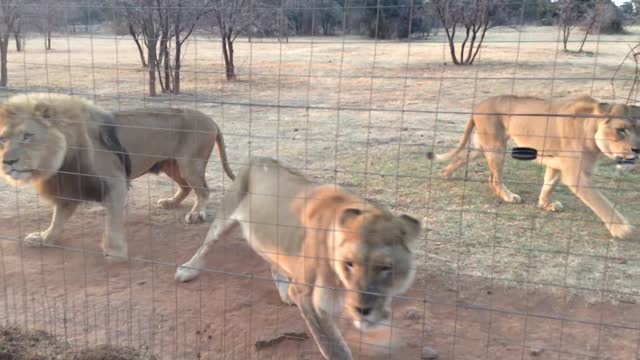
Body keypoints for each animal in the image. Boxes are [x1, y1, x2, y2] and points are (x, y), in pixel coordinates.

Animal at [175, 158, 424, 360]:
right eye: (349, 264)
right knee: (207, 245)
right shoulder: (308, 296)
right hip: (226, 214)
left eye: (386, 267)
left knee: (275, 265)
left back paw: (285, 294)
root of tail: (260, 158)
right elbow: (334, 346)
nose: (363, 309)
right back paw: (188, 270)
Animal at [428, 95, 636, 240]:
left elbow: (549, 184)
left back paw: (446, 173)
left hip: (482, 146)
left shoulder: (558, 164)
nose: (637, 149)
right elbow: (601, 202)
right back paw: (509, 196)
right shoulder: (575, 174)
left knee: (463, 157)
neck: (591, 129)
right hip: (496, 146)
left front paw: (546, 204)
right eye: (621, 130)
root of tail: (477, 106)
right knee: (493, 179)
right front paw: (622, 229)